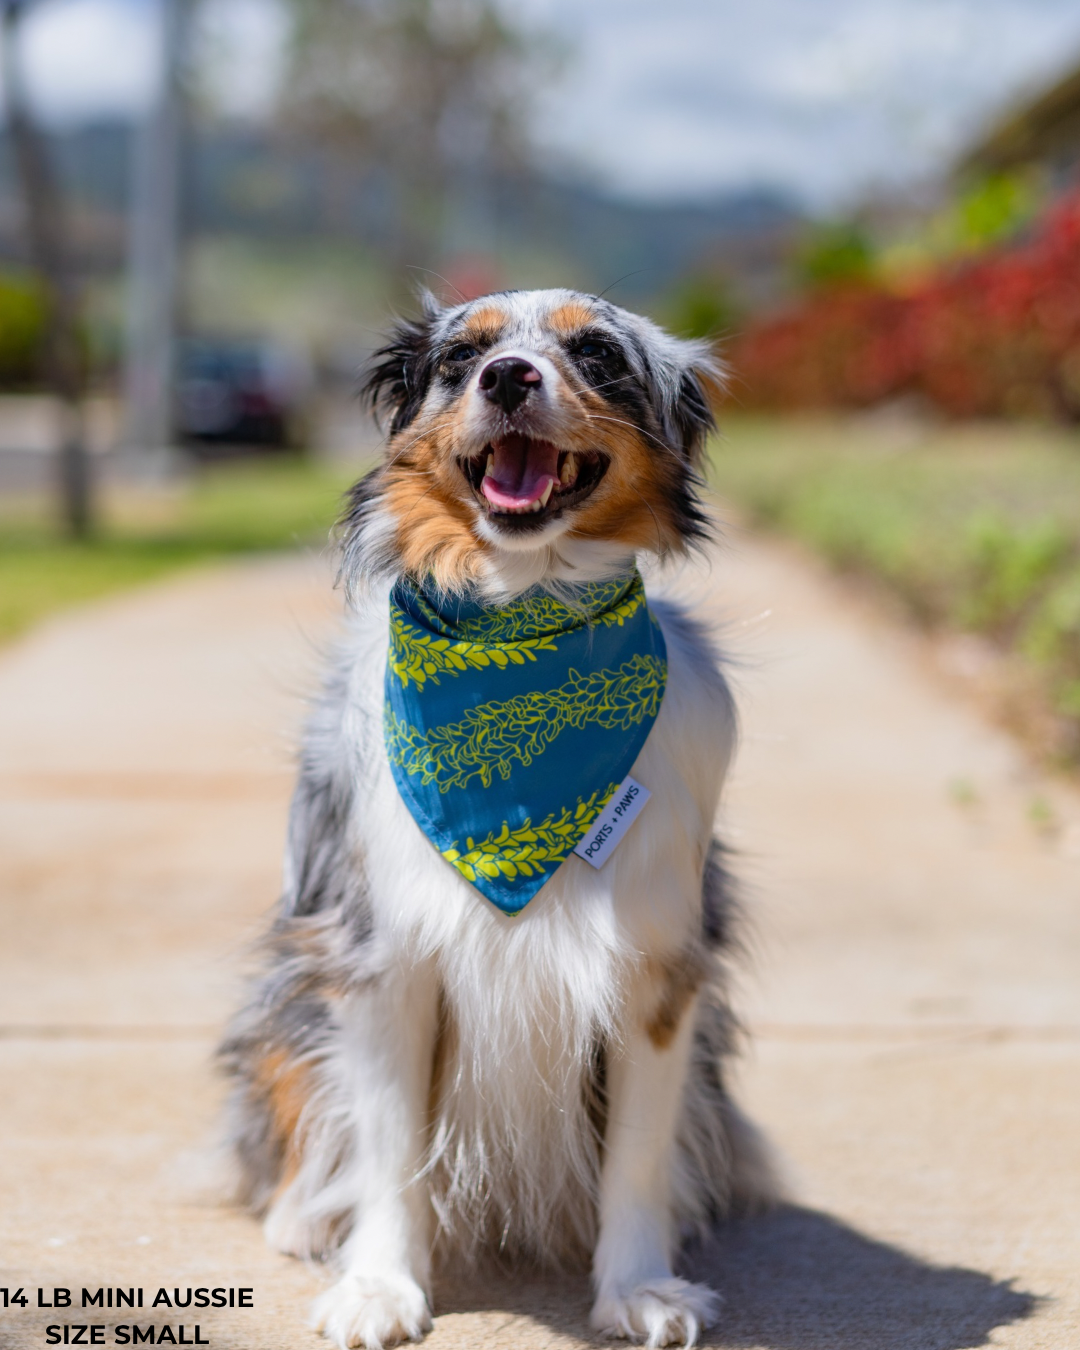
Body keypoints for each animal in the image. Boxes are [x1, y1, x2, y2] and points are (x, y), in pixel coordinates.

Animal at [218, 287, 777, 1350]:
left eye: (596, 355)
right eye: (458, 358)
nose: (509, 376)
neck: (525, 613)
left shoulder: (657, 972)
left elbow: (638, 1153)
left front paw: (638, 1287)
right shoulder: (383, 959)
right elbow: (388, 1147)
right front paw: (379, 1285)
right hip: (288, 996)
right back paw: (303, 1216)